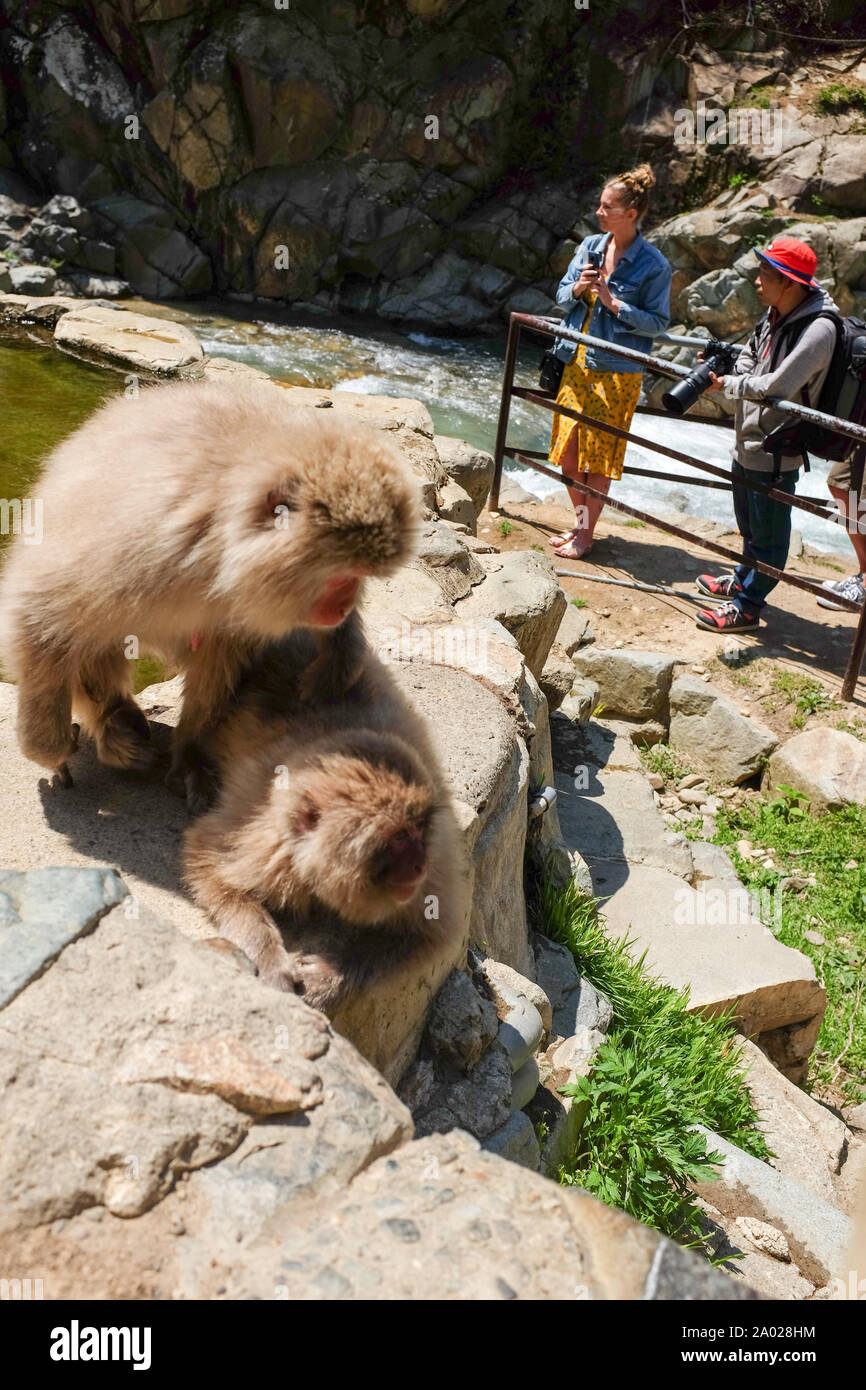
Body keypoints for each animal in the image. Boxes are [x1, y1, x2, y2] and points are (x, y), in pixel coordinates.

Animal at [0, 380, 419, 811]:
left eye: (361, 577)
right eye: (342, 576)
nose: (343, 606)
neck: (218, 548)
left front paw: (340, 654)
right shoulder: (140, 548)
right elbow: (41, 615)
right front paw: (49, 749)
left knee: (216, 653)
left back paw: (184, 752)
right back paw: (112, 726)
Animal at [183, 633, 467, 1011]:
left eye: (420, 829)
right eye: (397, 838)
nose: (418, 865)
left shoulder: (432, 873)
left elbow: (430, 932)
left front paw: (329, 977)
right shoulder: (264, 842)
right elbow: (209, 863)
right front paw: (269, 959)